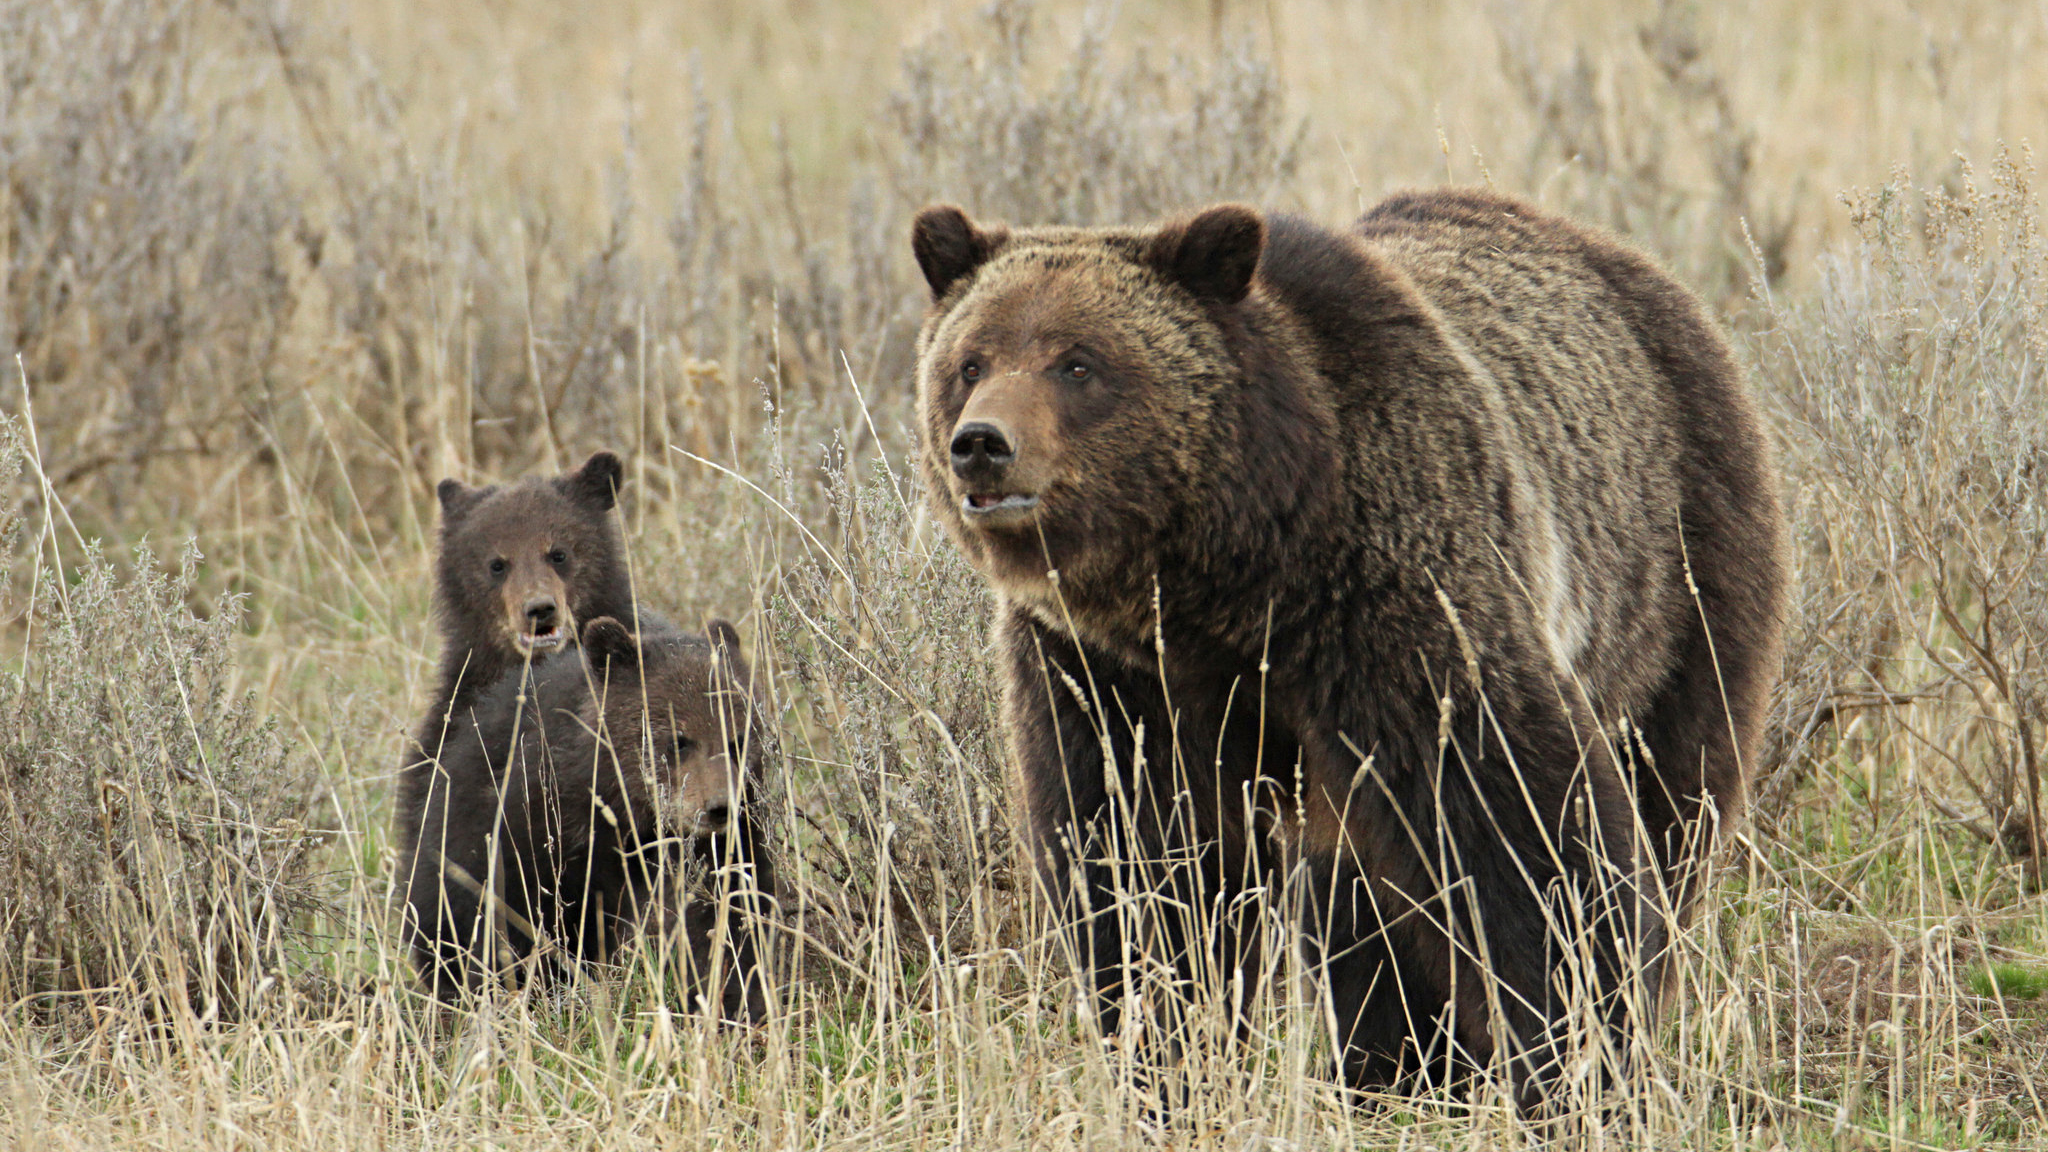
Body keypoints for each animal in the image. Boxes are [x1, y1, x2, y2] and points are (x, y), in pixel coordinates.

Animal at [395, 614, 770, 1008]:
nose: (719, 808)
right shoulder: (537, 830)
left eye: (738, 738)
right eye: (678, 740)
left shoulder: (725, 849)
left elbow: (726, 919)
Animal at [913, 188, 1794, 1090]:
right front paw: (1167, 1056)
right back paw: (1394, 1064)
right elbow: (1143, 867)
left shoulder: (1394, 600)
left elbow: (1525, 825)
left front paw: (1579, 1051)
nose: (981, 444)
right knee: (1361, 908)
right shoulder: (1107, 673)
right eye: (972, 362)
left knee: (1675, 791)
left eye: (1079, 363)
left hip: (1675, 572)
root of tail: (1613, 253)